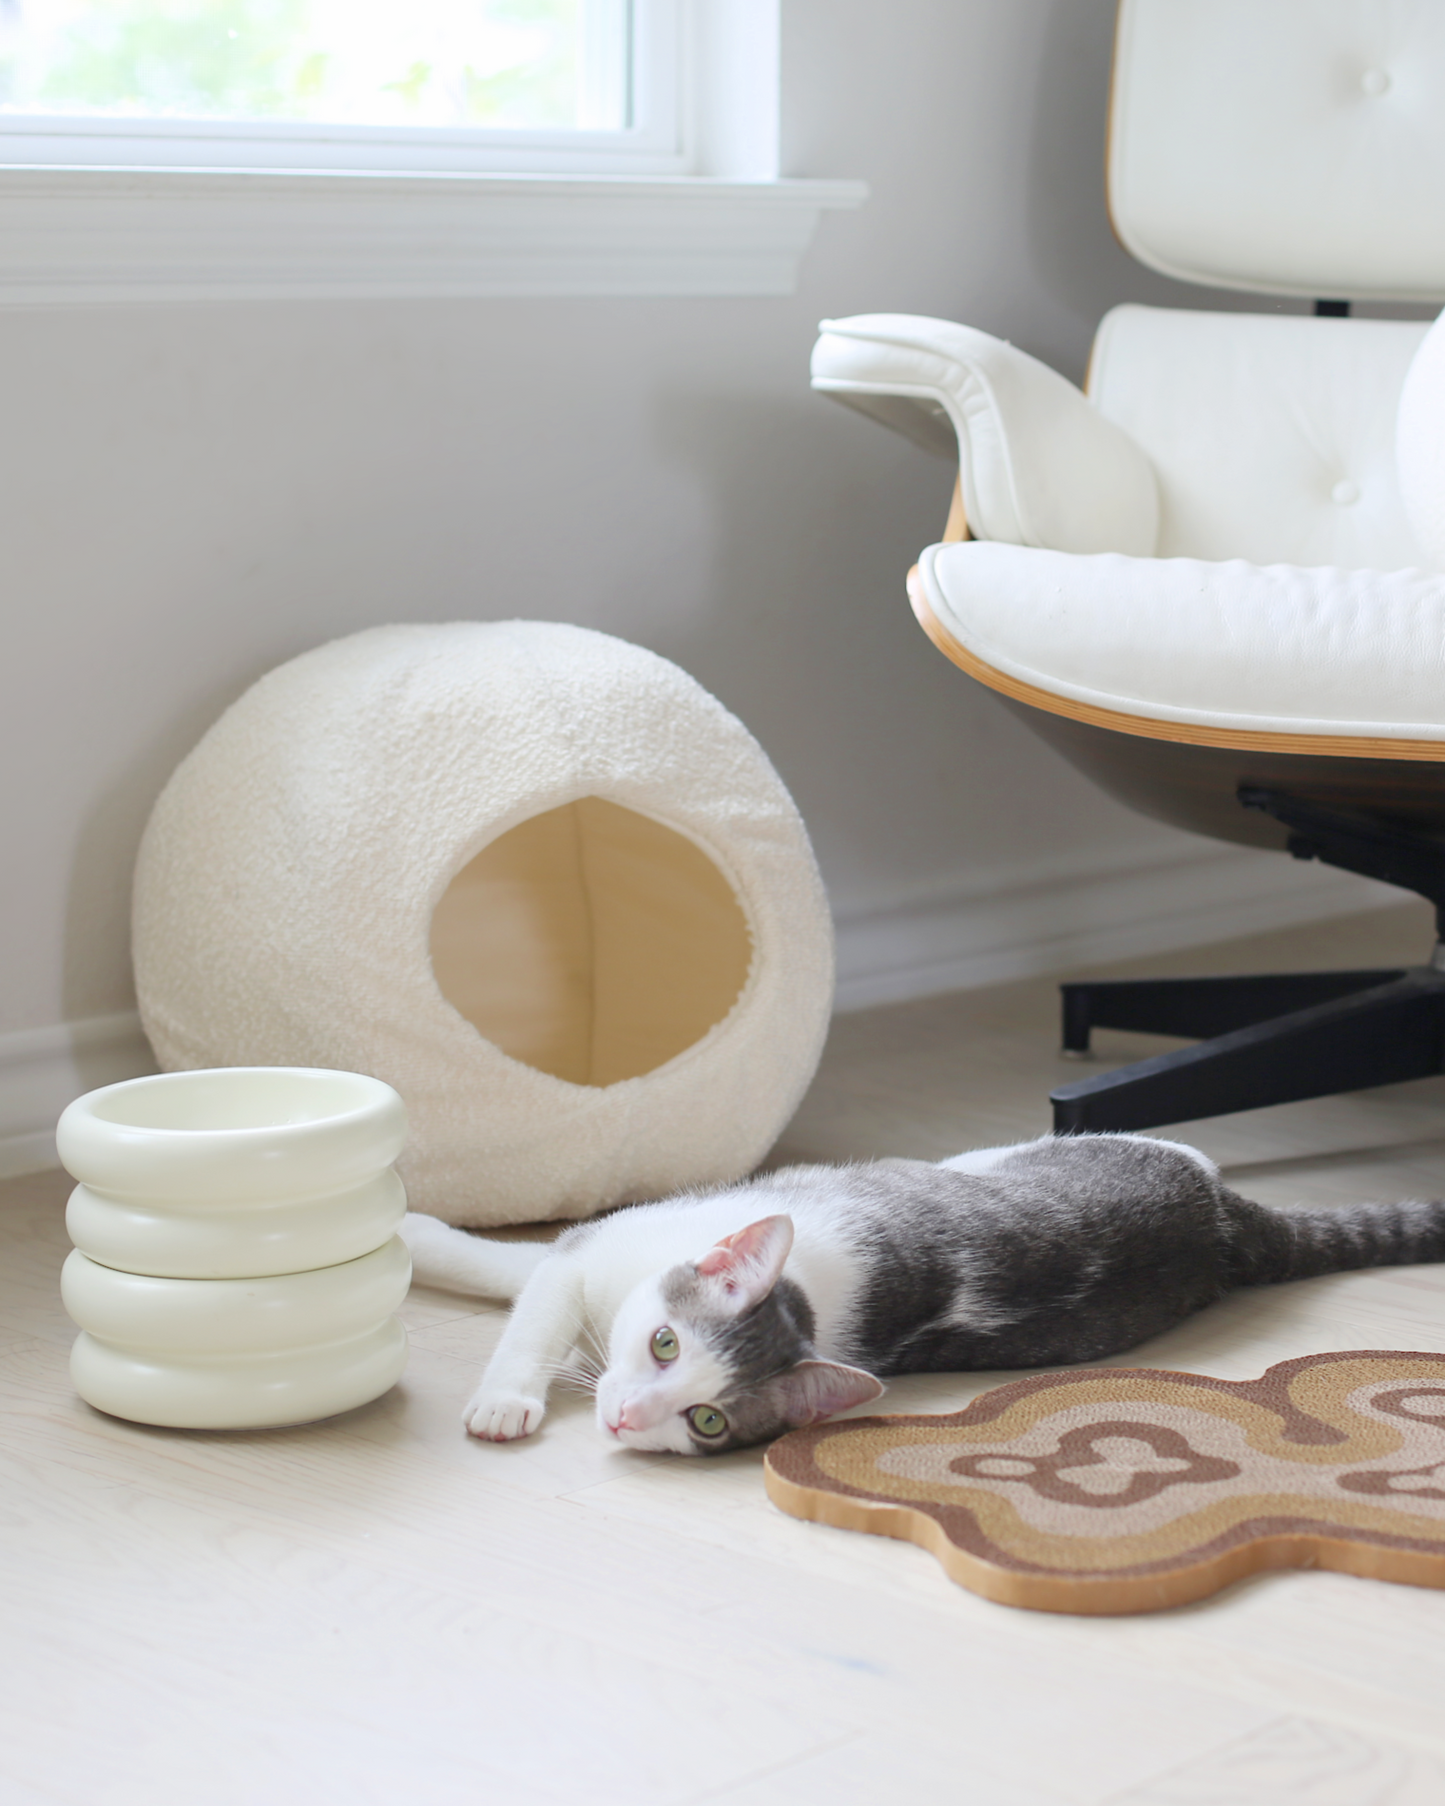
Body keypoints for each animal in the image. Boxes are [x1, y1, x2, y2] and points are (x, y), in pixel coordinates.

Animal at [400, 1134, 1445, 1459]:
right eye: (664, 1343)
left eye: (705, 1418)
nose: (624, 1418)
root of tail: (1229, 1223)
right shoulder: (595, 1259)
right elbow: (529, 1284)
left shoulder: (588, 1258)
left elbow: (526, 1282)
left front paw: (504, 1401)